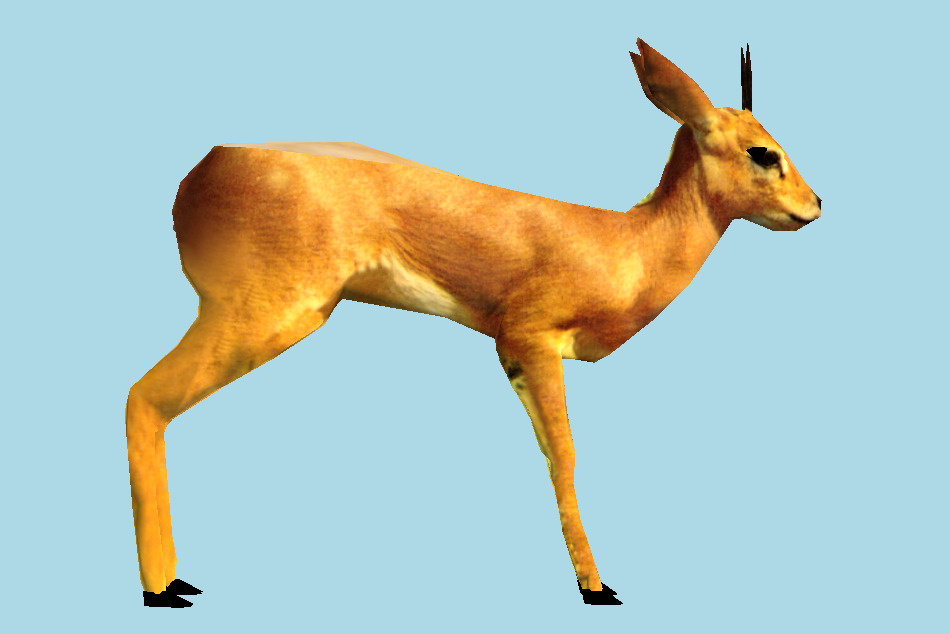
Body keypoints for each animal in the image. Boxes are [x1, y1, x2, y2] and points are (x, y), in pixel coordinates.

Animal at [126, 38, 820, 607]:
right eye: (763, 153)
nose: (814, 206)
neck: (624, 243)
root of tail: (202, 170)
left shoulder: (513, 359)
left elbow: (550, 457)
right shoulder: (532, 340)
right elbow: (568, 457)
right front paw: (596, 587)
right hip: (271, 313)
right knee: (144, 398)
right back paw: (163, 588)